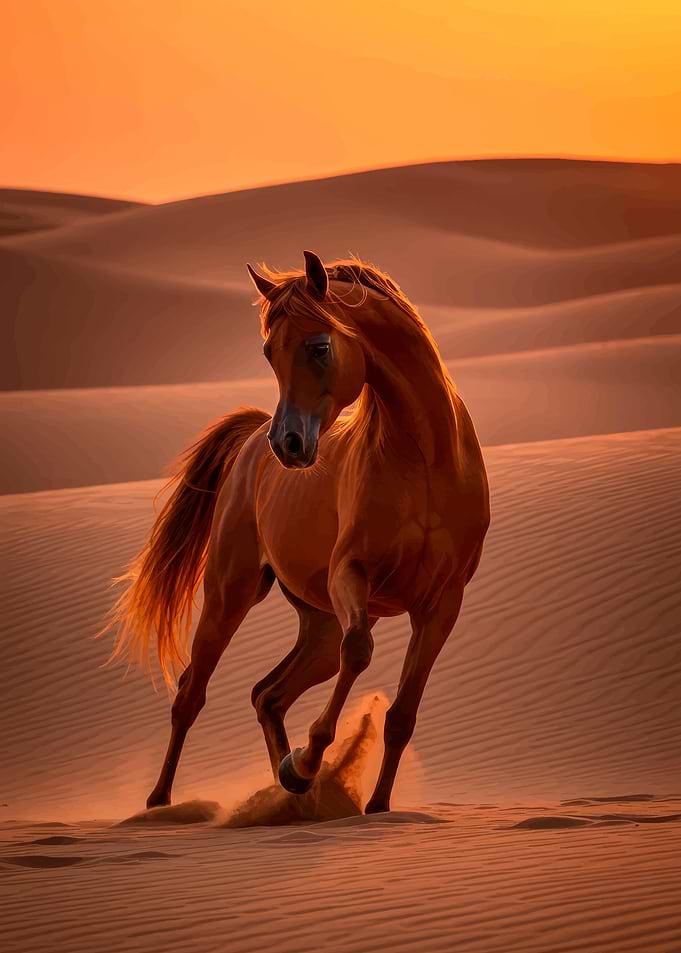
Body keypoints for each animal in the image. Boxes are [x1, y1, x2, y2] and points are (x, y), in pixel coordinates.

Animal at [105, 251, 490, 813]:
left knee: (267, 695)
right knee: (192, 693)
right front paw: (308, 762)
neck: (425, 460)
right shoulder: (351, 573)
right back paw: (161, 803)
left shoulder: (442, 603)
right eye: (268, 352)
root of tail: (249, 447)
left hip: (319, 629)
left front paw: (376, 807)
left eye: (319, 346)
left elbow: (402, 715)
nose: (287, 443)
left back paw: (290, 795)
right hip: (230, 595)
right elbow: (361, 652)